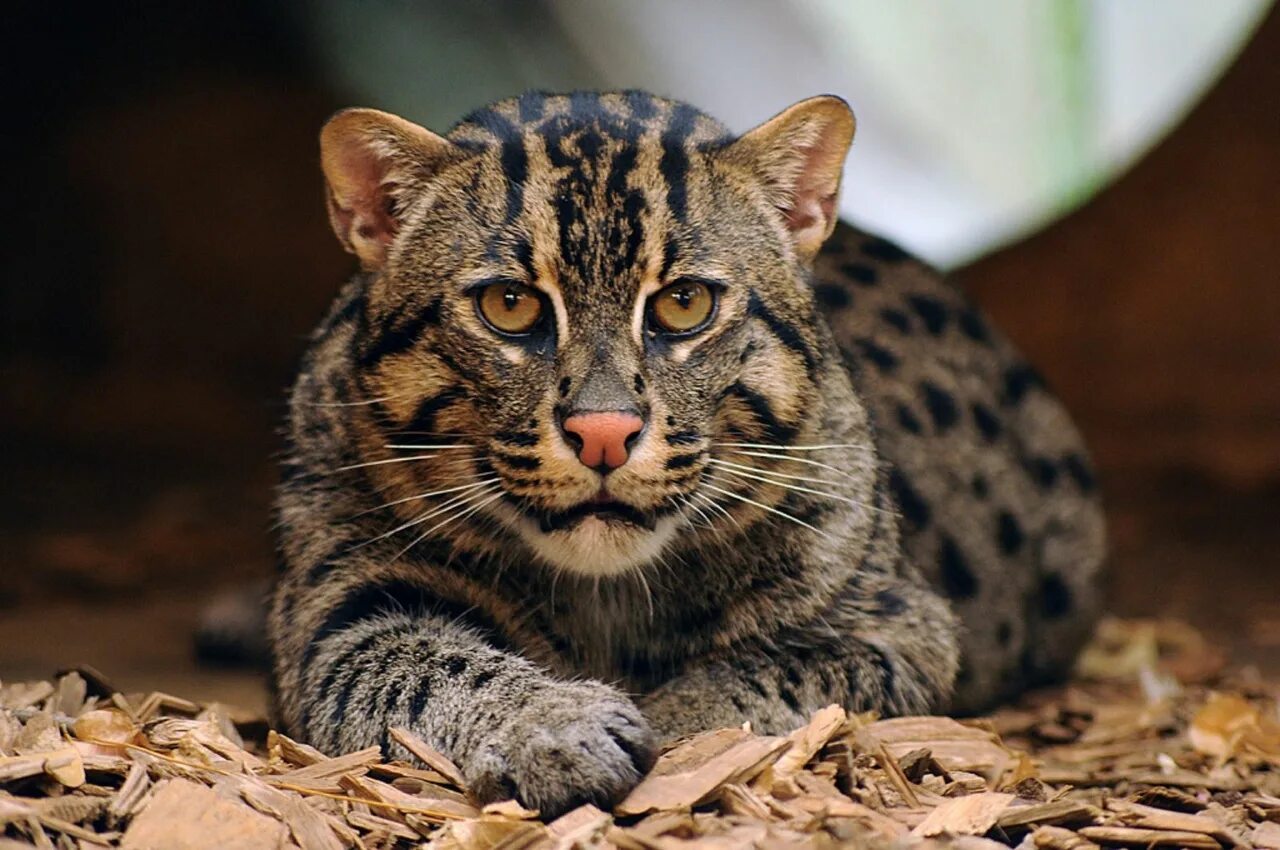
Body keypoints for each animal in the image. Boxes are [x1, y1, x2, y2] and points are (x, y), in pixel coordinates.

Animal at [264, 89, 1105, 814]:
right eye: (509, 305)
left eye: (684, 303)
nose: (604, 431)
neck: (602, 593)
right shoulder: (338, 595)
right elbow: (417, 664)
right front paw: (552, 724)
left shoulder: (895, 619)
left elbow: (781, 668)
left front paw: (675, 727)